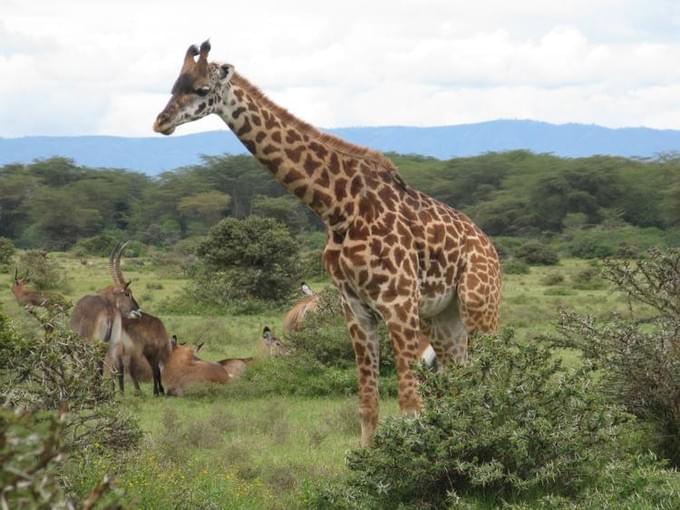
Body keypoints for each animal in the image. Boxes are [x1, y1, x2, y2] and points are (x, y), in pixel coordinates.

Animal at [157, 40, 502, 446]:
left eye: (201, 90)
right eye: (173, 86)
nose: (161, 121)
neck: (338, 208)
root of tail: (490, 247)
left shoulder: (399, 303)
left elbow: (410, 408)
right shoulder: (355, 308)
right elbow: (368, 404)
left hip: (480, 306)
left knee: (491, 381)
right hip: (443, 319)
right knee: (464, 384)